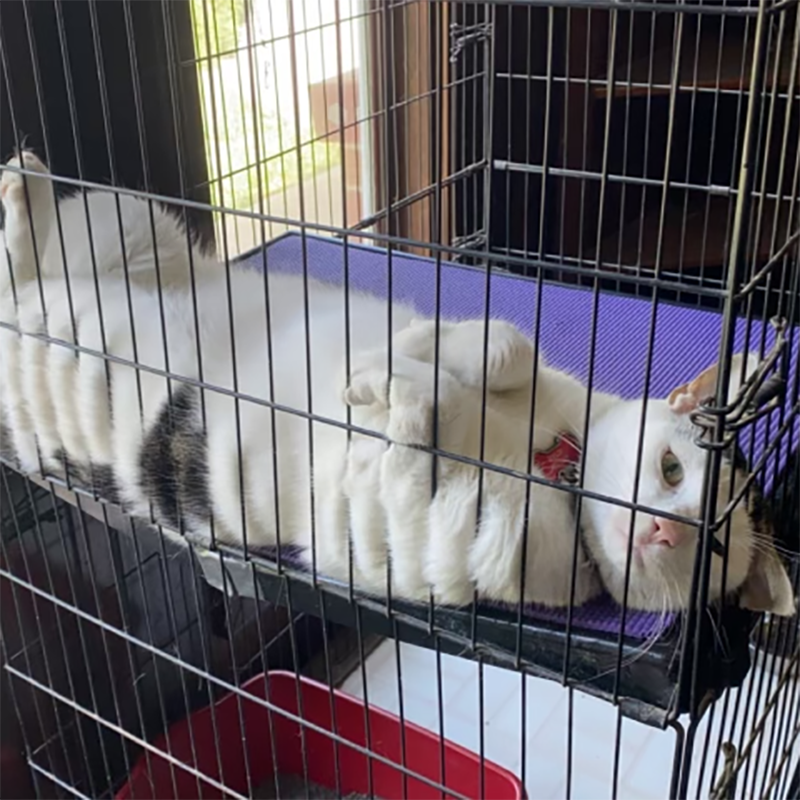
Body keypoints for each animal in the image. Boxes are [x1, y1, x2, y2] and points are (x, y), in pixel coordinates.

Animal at [0, 155, 792, 620]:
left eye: (712, 549)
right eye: (672, 469)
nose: (662, 528)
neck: (548, 464)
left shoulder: (404, 532)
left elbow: (415, 427)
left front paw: (381, 384)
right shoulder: (497, 351)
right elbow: (497, 348)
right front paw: (404, 361)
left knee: (19, 280)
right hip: (125, 220)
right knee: (31, 257)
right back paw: (25, 181)